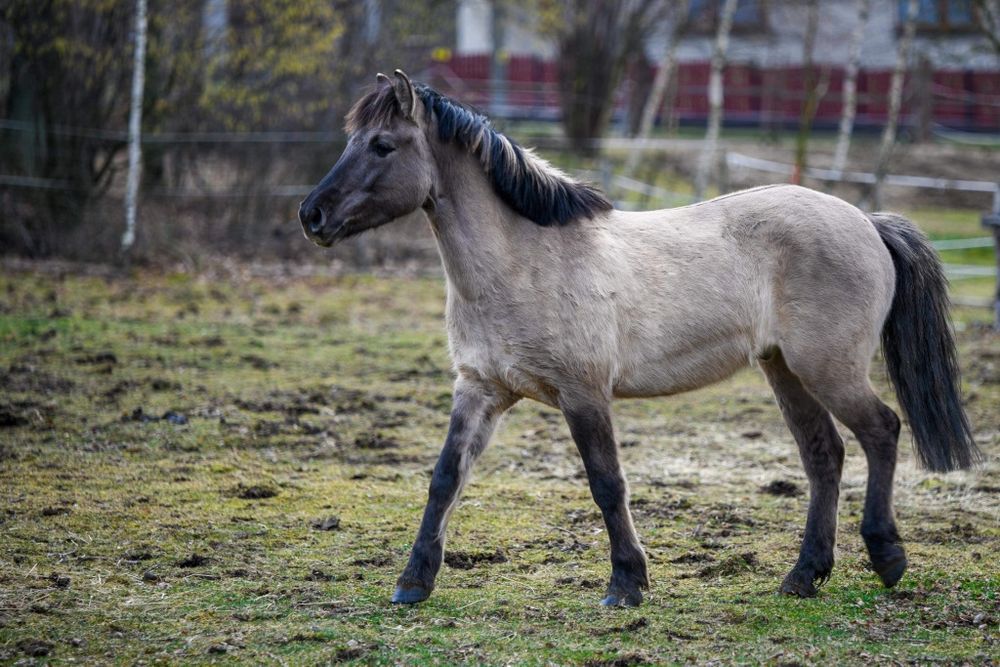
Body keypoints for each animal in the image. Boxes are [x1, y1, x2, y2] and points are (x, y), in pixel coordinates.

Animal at [294, 70, 976, 608]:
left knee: (881, 430)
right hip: (784, 369)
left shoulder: (583, 394)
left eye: (383, 145)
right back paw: (803, 577)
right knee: (824, 455)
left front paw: (626, 585)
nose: (312, 215)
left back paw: (886, 558)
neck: (523, 263)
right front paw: (413, 583)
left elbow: (606, 483)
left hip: (828, 368)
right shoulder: (480, 391)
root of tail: (866, 221)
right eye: (354, 140)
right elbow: (444, 479)